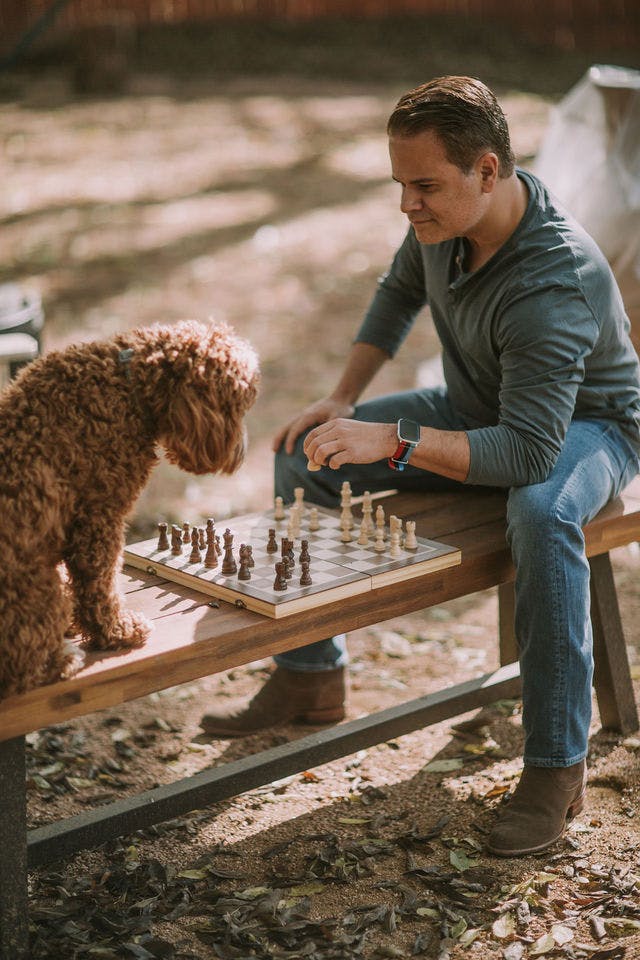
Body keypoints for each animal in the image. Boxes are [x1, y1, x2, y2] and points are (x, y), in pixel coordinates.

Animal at [1, 322, 260, 696]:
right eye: (238, 404)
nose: (241, 454)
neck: (127, 382)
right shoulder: (98, 520)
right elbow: (102, 585)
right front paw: (117, 631)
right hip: (37, 585)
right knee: (22, 667)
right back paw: (58, 660)